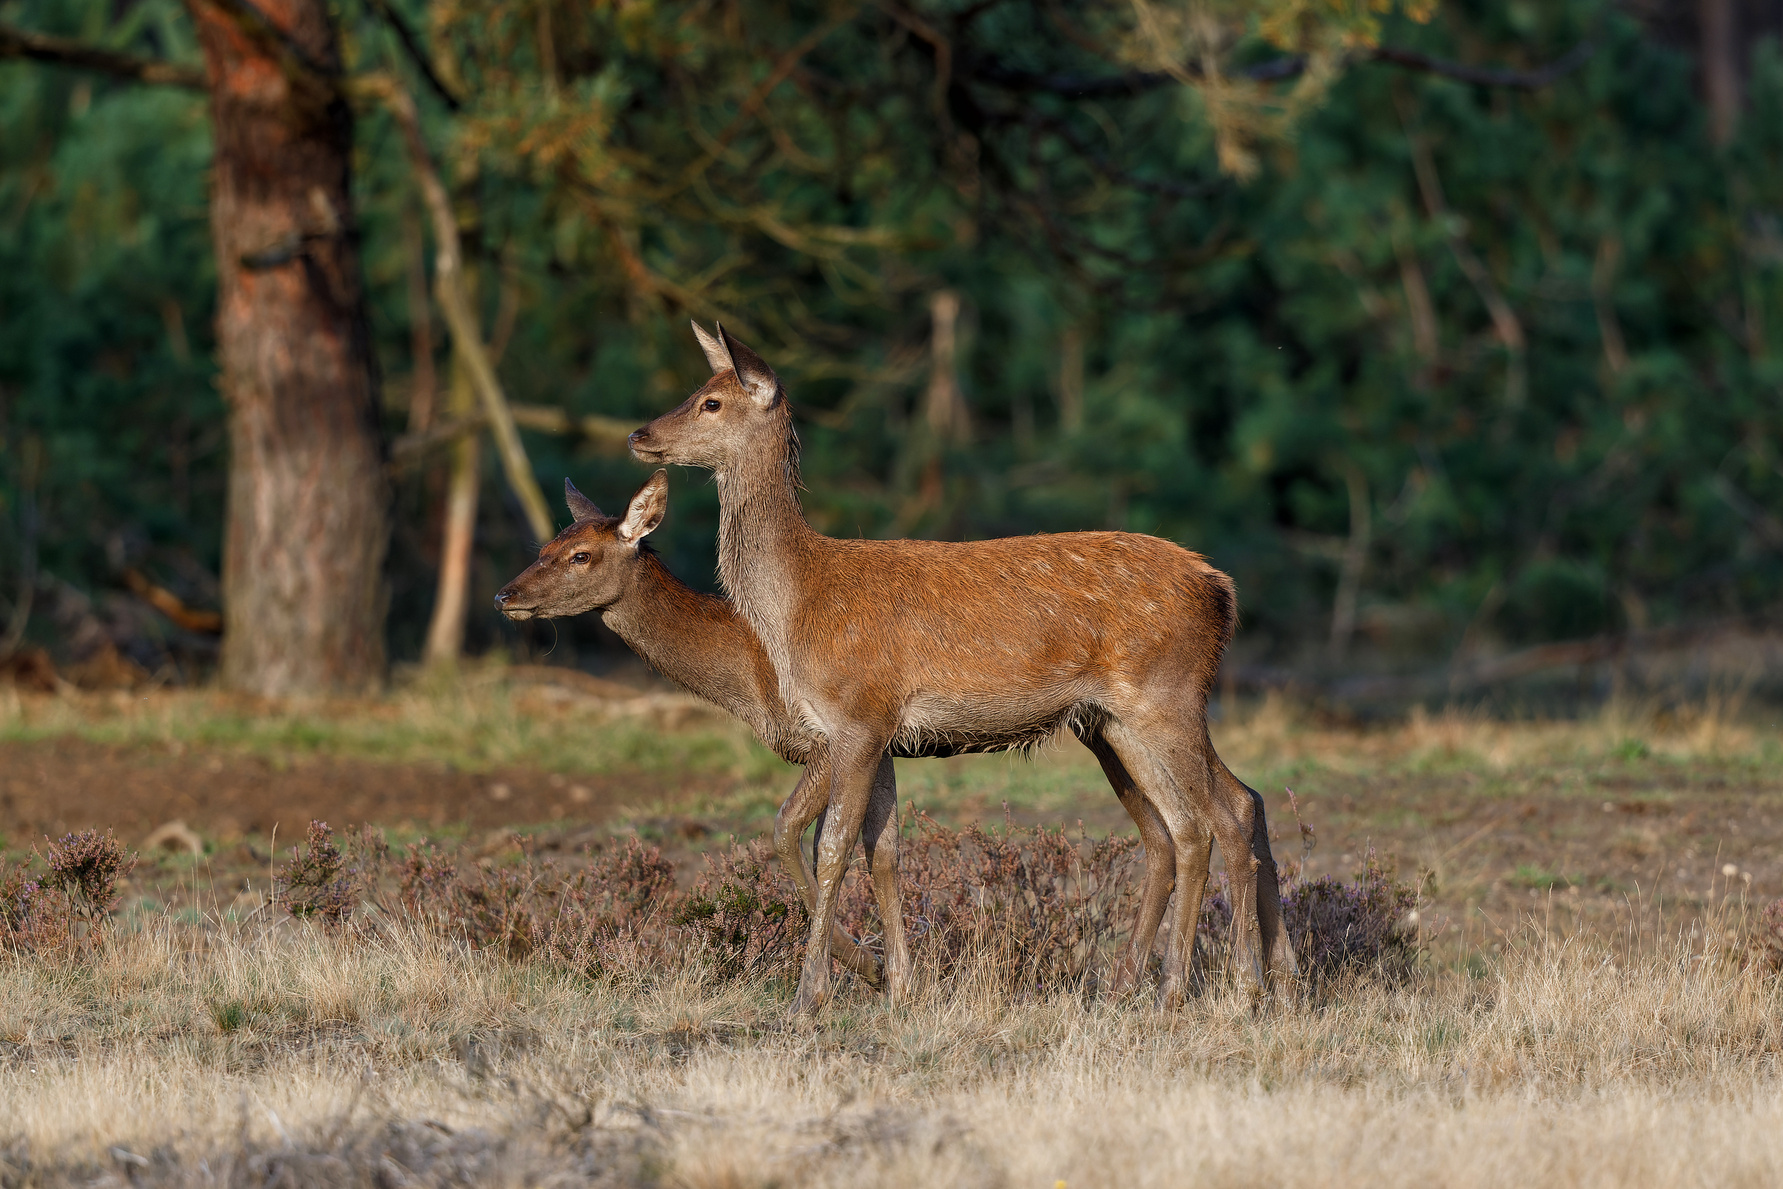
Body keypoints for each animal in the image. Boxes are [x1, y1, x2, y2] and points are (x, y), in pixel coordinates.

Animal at [634, 326, 1305, 1012]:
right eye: (698, 389)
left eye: (712, 402)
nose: (640, 434)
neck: (796, 606)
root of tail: (1222, 590)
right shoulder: (877, 734)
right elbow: (880, 847)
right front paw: (895, 987)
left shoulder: (860, 715)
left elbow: (834, 847)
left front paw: (809, 996)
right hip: (1119, 721)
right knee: (1216, 812)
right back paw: (1235, 982)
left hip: (1166, 696)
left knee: (1218, 815)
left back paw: (1228, 985)